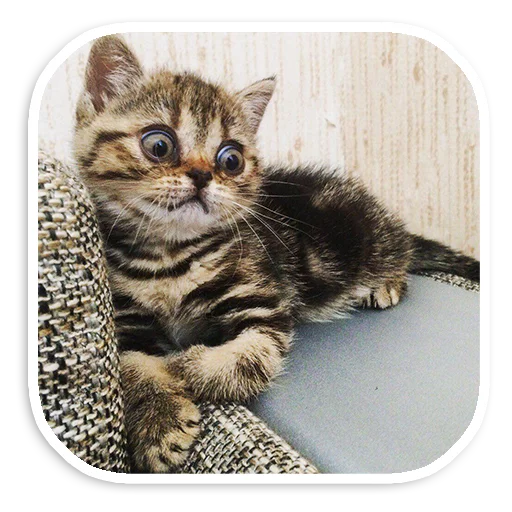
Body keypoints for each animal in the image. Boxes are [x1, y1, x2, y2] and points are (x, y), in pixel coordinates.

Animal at [73, 35, 479, 473]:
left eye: (230, 159)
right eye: (159, 144)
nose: (202, 175)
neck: (171, 257)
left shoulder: (263, 305)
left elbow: (246, 360)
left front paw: (184, 367)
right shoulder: (127, 324)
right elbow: (135, 367)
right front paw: (157, 420)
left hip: (365, 238)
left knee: (399, 252)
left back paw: (385, 283)